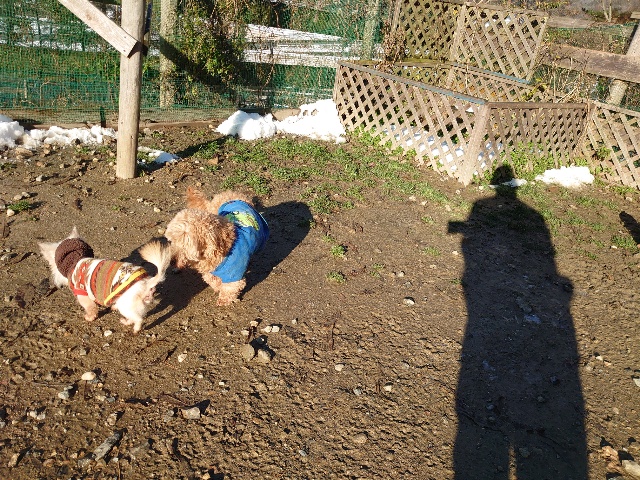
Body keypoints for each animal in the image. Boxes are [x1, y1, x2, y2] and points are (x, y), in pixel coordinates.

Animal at [38, 227, 171, 333]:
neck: (75, 260)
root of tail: (145, 283)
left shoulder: (82, 293)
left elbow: (90, 307)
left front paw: (89, 317)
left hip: (126, 305)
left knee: (139, 319)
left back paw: (135, 329)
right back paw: (126, 321)